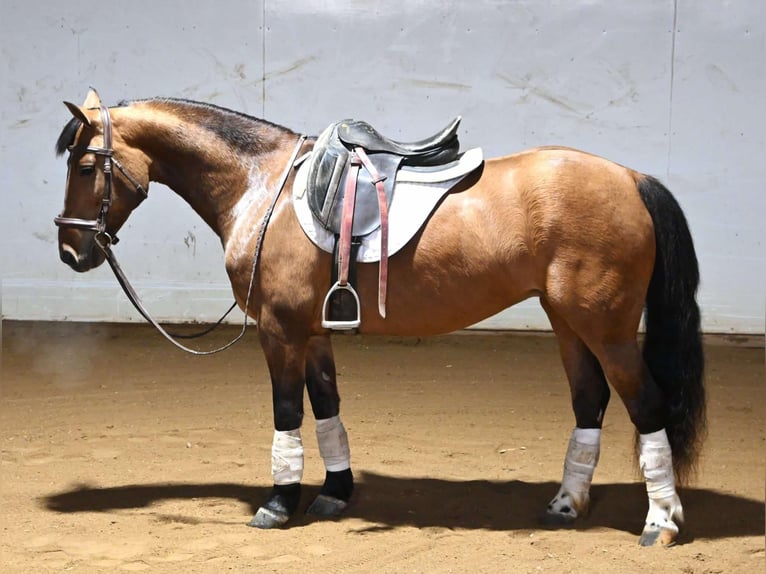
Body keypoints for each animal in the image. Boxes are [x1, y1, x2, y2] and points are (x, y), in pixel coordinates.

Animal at [54, 89, 704, 546]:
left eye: (84, 167)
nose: (70, 252)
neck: (259, 185)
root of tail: (631, 178)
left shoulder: (279, 331)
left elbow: (287, 412)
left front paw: (277, 504)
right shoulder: (313, 332)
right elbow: (326, 408)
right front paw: (335, 494)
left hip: (607, 328)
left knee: (647, 406)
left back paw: (661, 522)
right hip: (568, 322)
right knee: (589, 401)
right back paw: (568, 504)